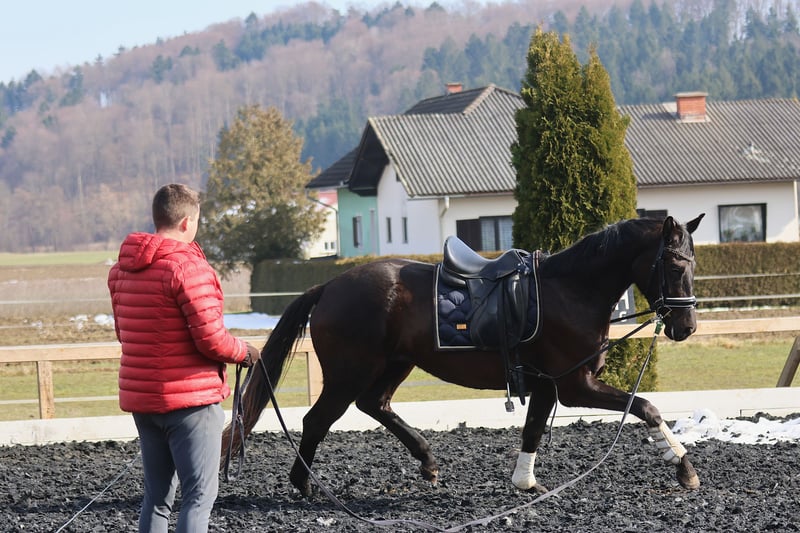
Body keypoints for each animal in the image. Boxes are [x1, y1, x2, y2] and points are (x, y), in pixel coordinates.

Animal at [225, 214, 705, 496]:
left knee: (375, 405)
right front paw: (683, 467)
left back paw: (428, 462)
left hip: (394, 364)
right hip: (349, 372)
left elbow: (532, 429)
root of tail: (329, 286)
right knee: (317, 420)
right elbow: (646, 407)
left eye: (693, 265)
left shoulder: (547, 384)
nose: (686, 327)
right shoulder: (575, 385)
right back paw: (304, 484)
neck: (570, 289)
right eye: (674, 265)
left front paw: (524, 481)